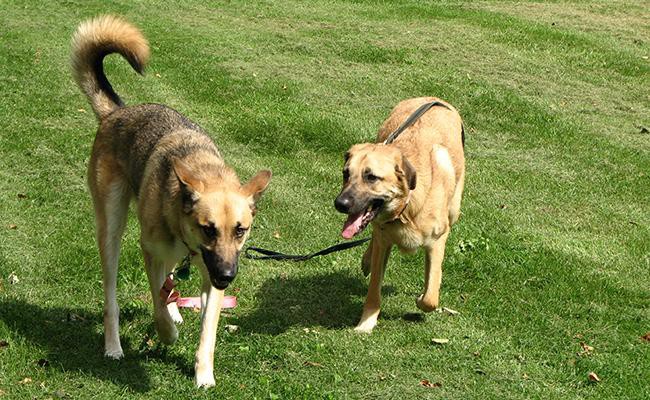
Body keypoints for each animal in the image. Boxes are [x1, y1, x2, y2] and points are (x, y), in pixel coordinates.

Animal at [71, 16, 270, 388]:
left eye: (240, 230)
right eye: (208, 229)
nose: (227, 275)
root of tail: (117, 113)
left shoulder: (210, 275)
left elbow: (207, 330)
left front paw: (204, 375)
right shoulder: (151, 251)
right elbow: (156, 303)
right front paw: (166, 335)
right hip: (111, 227)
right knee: (113, 297)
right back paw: (114, 345)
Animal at [334, 97, 460, 334]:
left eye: (371, 177)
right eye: (346, 174)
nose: (340, 204)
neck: (407, 207)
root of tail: (431, 98)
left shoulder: (437, 241)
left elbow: (430, 297)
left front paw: (421, 297)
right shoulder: (383, 242)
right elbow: (374, 290)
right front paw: (367, 322)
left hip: (454, 210)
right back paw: (366, 260)